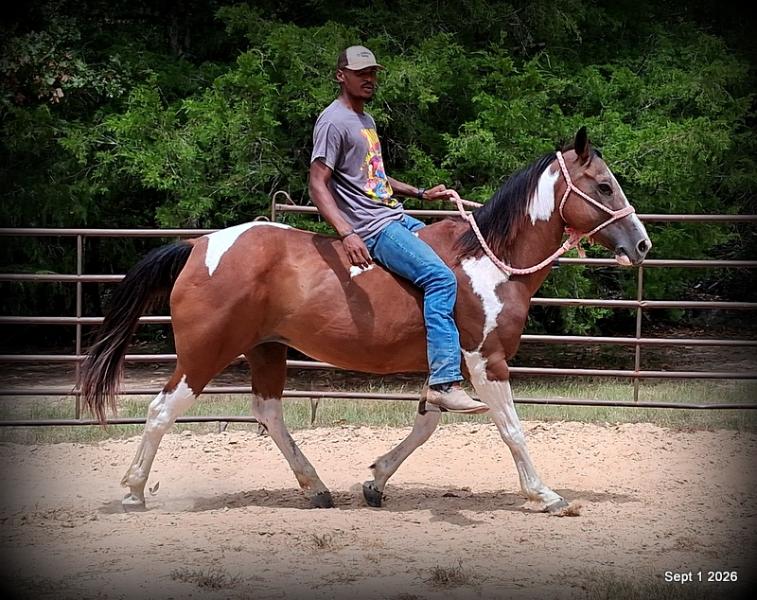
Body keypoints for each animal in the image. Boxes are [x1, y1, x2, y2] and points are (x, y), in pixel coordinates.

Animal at [81, 127, 651, 513]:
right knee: (161, 410)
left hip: (266, 348)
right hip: (205, 354)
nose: (642, 244)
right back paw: (133, 493)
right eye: (604, 186)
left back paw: (316, 488)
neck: (489, 260)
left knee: (267, 413)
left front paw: (376, 480)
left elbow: (427, 423)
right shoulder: (484, 359)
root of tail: (200, 247)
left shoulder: (444, 366)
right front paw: (545, 495)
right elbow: (512, 429)